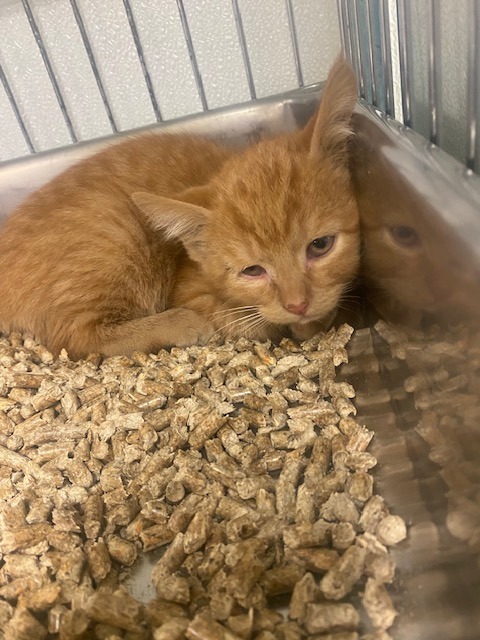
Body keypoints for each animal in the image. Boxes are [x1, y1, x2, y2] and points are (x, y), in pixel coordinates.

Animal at [0, 58, 358, 360]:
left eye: (320, 246)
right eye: (252, 270)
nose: (298, 304)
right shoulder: (194, 293)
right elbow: (245, 320)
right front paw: (299, 322)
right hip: (115, 233)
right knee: (73, 336)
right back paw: (177, 323)